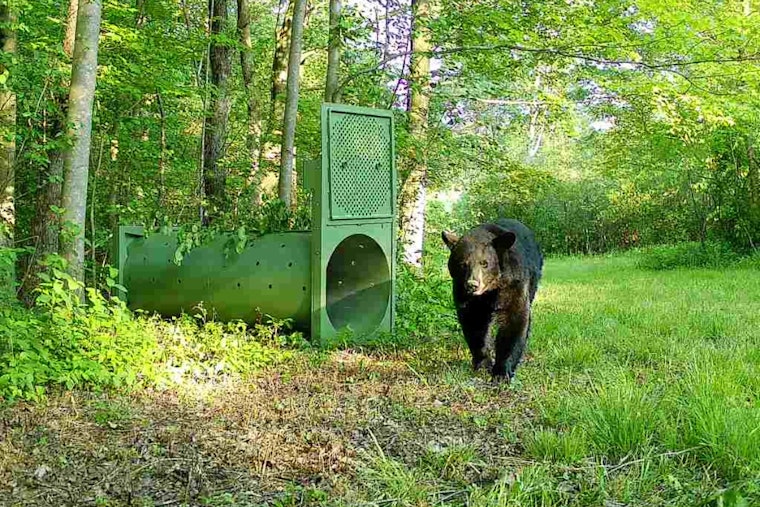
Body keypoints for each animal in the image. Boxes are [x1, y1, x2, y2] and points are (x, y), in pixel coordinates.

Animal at [442, 218, 543, 381]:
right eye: (463, 264)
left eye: (484, 263)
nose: (472, 285)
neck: (491, 290)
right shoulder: (465, 295)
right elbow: (475, 323)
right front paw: (483, 363)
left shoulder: (514, 284)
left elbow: (515, 320)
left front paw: (502, 371)